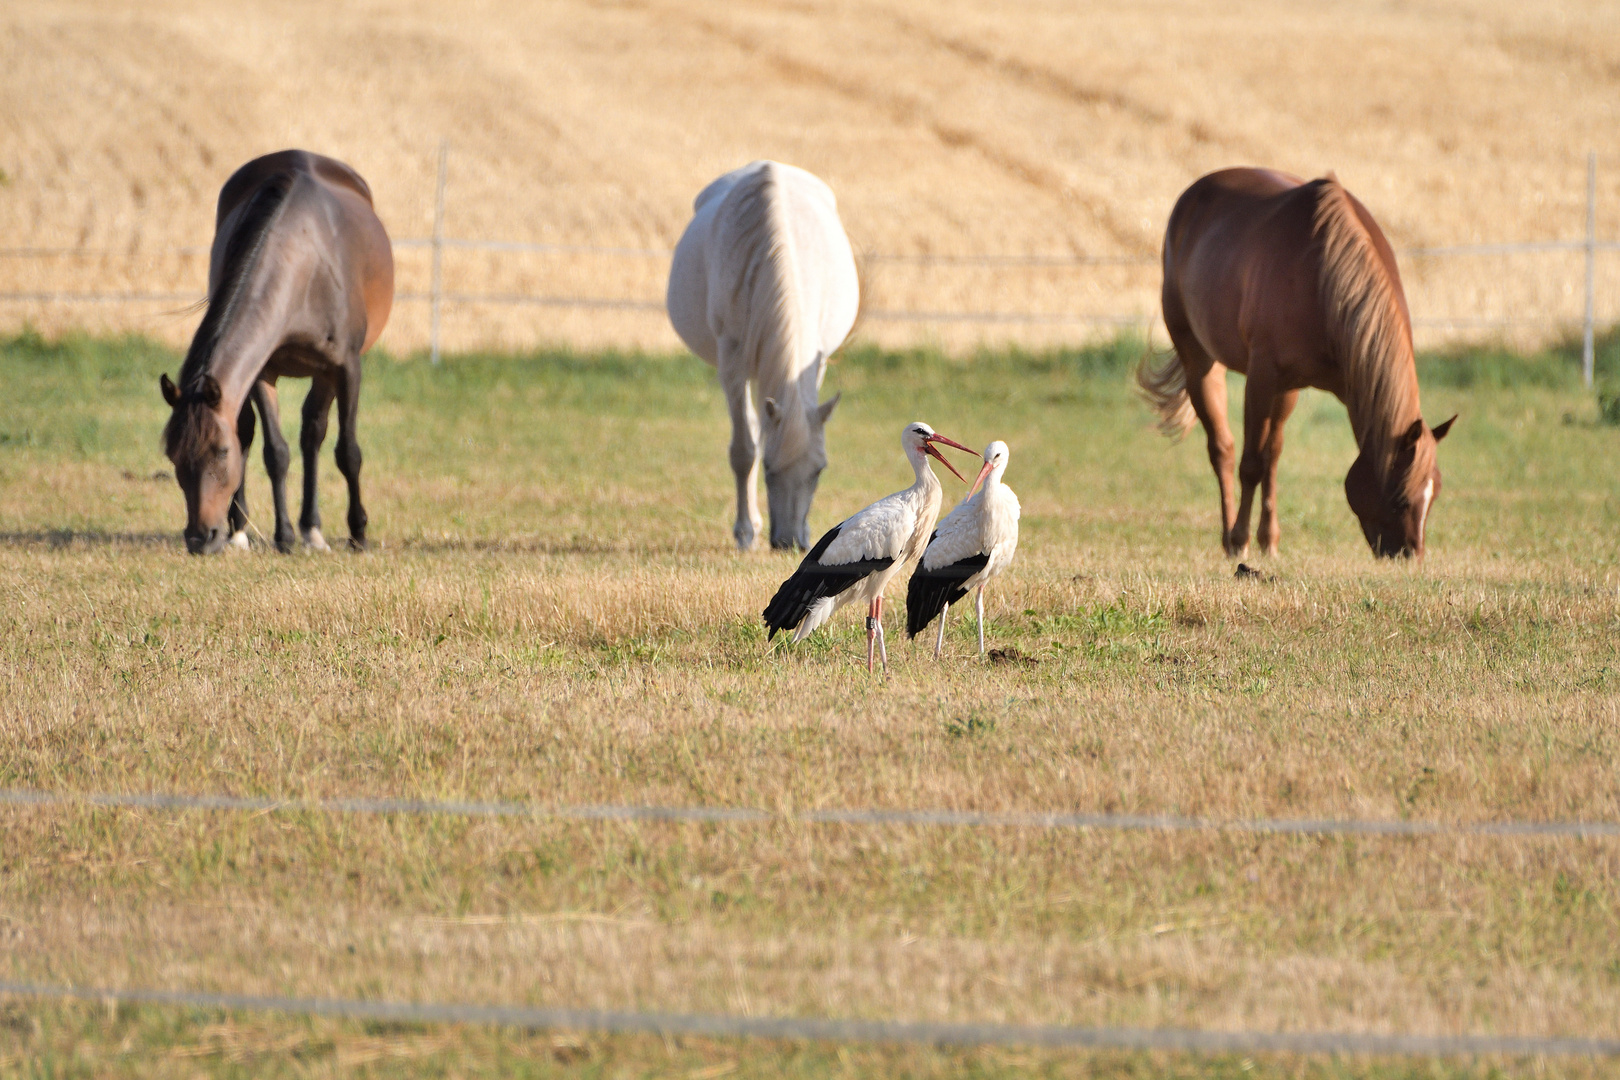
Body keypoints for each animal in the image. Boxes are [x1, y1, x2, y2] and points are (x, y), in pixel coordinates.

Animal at [159, 149, 393, 557]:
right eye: (173, 455)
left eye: (221, 452)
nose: (200, 539)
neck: (303, 263)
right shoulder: (262, 370)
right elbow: (276, 452)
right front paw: (283, 535)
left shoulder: (346, 367)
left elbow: (348, 452)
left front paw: (358, 534)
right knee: (261, 432)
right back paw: (244, 530)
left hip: (324, 372)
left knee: (314, 434)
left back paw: (313, 530)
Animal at [664, 161, 861, 553]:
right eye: (770, 469)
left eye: (820, 469)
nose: (790, 542)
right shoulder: (732, 362)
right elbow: (744, 451)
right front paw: (744, 533)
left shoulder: (814, 364)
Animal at [1140, 166, 1458, 566]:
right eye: (1401, 496)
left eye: (1436, 492)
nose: (1410, 556)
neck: (1323, 279)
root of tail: (1192, 195)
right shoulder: (1261, 379)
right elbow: (1251, 464)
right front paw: (1241, 539)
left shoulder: (1289, 384)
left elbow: (1272, 459)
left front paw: (1269, 540)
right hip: (1198, 360)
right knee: (1222, 450)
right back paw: (1228, 537)